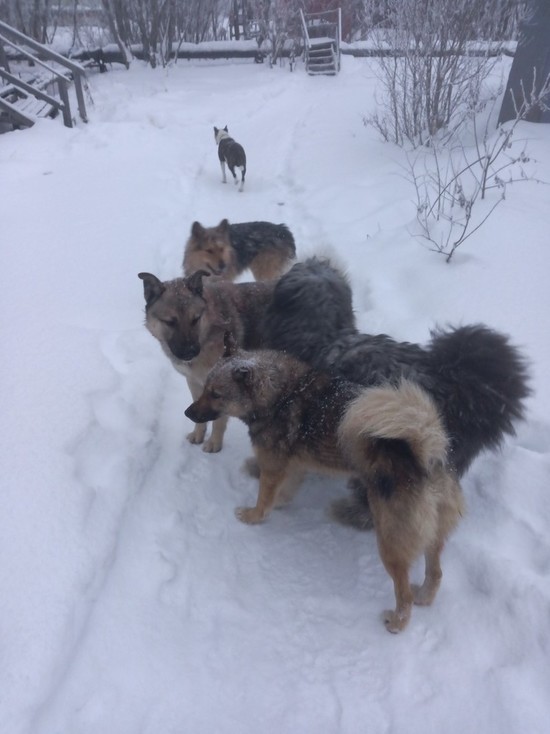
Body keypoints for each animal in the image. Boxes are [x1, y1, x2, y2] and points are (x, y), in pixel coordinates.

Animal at [138, 270, 276, 454]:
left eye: (195, 319)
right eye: (170, 322)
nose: (190, 351)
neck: (208, 333)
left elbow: (218, 420)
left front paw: (214, 443)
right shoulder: (194, 382)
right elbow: (199, 408)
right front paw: (198, 434)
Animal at [187, 336, 466, 636]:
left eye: (216, 394)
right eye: (204, 387)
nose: (188, 412)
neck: (280, 394)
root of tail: (427, 453)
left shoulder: (273, 467)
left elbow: (264, 500)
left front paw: (252, 516)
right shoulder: (295, 467)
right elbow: (282, 494)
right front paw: (279, 505)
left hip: (391, 541)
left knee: (404, 593)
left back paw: (397, 622)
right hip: (432, 533)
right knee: (435, 572)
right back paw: (424, 596)